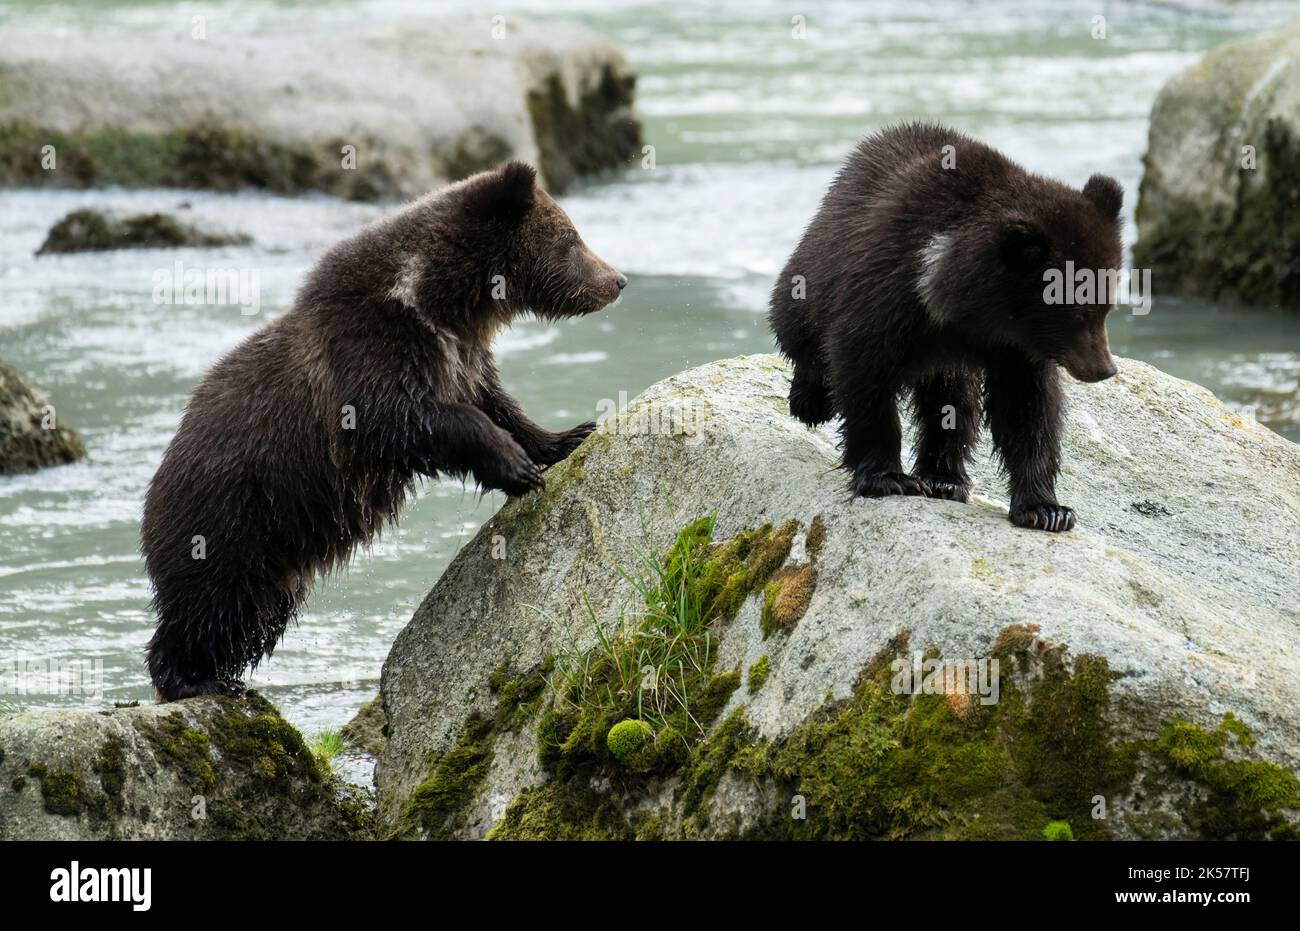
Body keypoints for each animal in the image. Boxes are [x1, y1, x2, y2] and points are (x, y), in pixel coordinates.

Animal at [141, 161, 626, 701]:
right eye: (570, 238)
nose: (618, 280)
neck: (443, 302)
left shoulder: (461, 359)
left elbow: (498, 404)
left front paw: (567, 436)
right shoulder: (374, 351)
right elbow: (405, 419)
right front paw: (515, 465)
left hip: (277, 555)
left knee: (252, 618)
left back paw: (223, 676)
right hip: (229, 516)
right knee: (210, 603)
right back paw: (191, 678)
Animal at [769, 122, 1122, 532]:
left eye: (1107, 306)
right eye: (1078, 313)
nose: (1104, 369)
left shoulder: (1016, 350)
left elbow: (1028, 409)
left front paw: (1047, 509)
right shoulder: (886, 292)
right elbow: (863, 372)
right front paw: (887, 477)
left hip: (944, 366)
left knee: (952, 404)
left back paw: (945, 479)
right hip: (818, 264)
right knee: (798, 327)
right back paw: (810, 401)